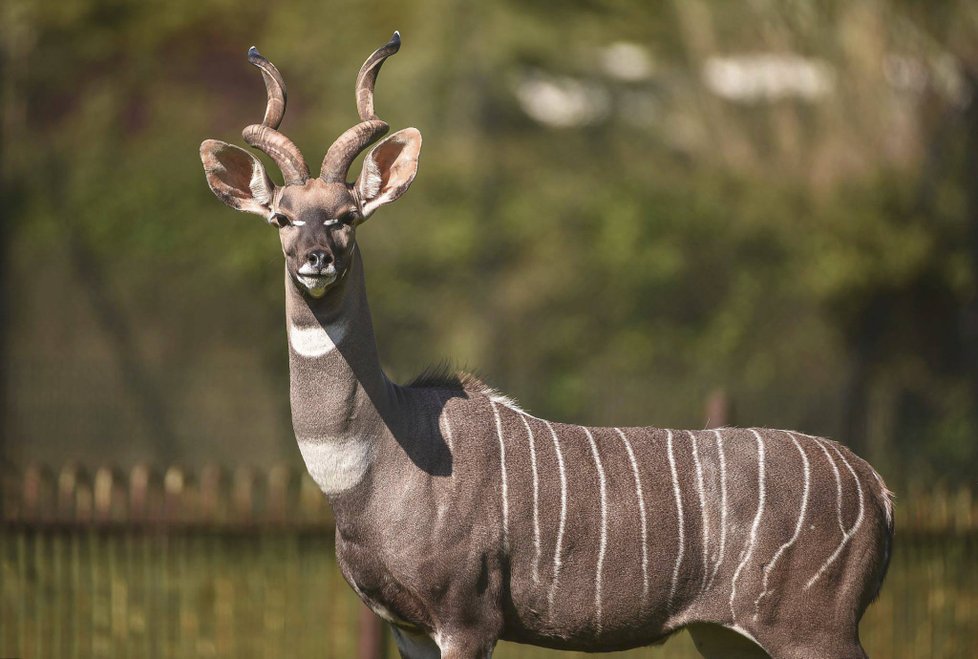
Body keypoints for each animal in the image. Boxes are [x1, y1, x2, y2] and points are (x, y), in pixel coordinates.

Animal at [196, 32, 892, 659]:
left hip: (813, 630)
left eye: (346, 216)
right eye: (281, 216)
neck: (376, 458)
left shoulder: (467, 619)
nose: (314, 259)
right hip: (724, 635)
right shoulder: (408, 628)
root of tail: (877, 489)